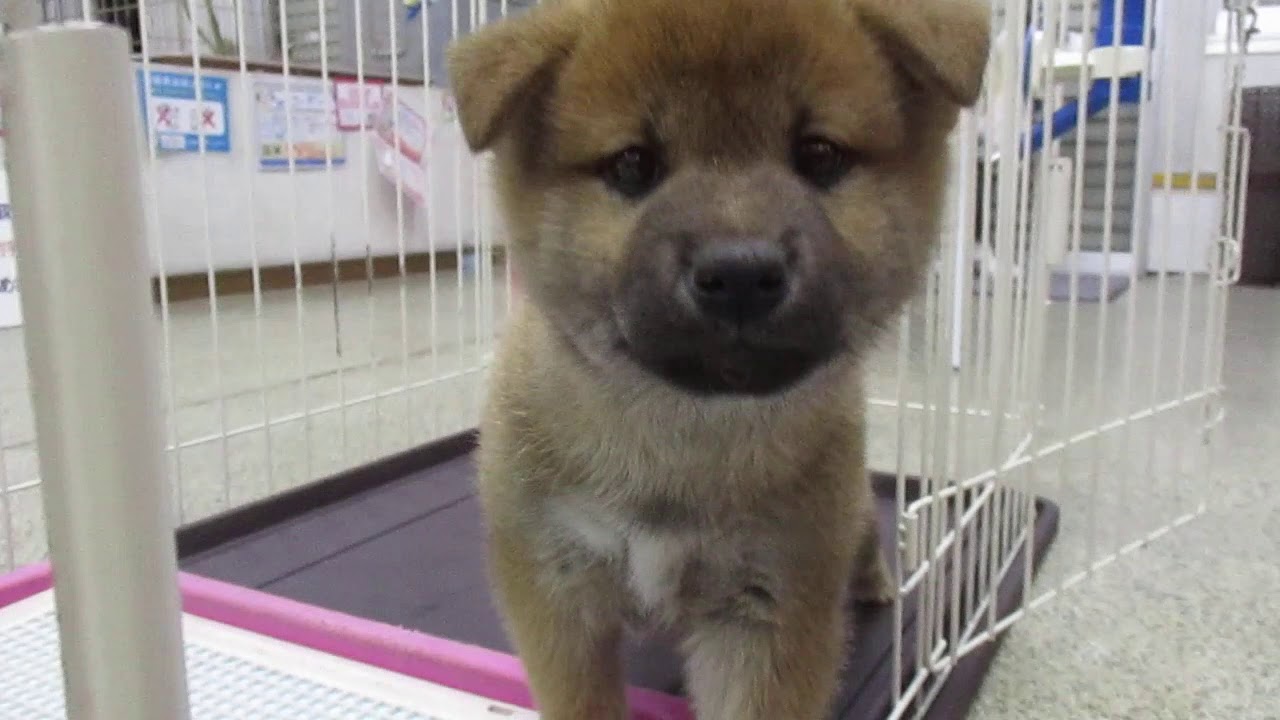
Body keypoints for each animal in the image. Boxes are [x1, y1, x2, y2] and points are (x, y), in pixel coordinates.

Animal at [448, 2, 988, 712]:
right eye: (632, 165)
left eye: (820, 155)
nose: (740, 273)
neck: (681, 437)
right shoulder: (556, 584)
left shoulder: (770, 603)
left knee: (866, 529)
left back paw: (874, 580)